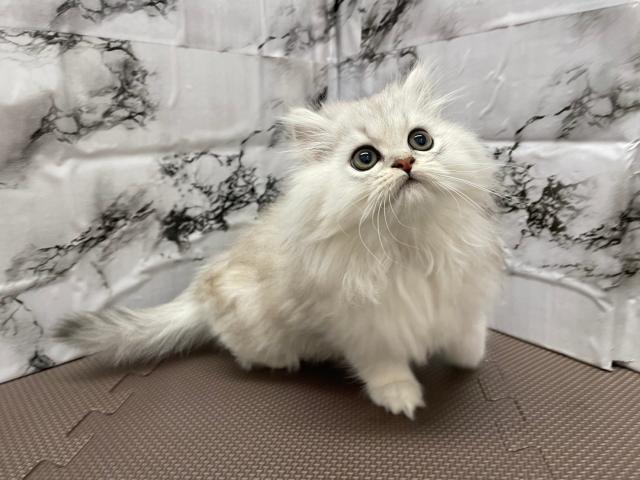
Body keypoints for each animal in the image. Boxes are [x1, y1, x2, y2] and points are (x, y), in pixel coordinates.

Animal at [55, 63, 503, 419]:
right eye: (365, 159)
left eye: (419, 140)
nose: (406, 163)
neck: (408, 242)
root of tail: (199, 293)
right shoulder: (364, 327)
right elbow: (385, 367)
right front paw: (400, 398)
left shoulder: (459, 293)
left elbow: (466, 334)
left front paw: (471, 358)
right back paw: (285, 361)